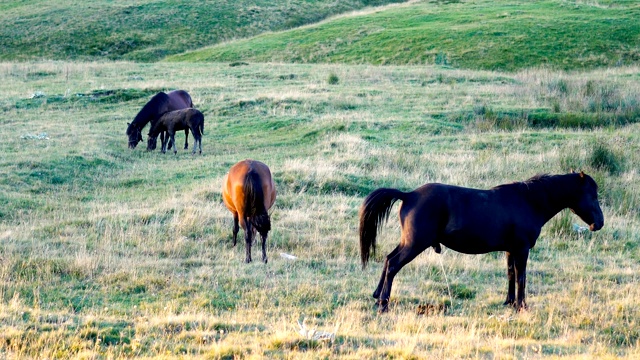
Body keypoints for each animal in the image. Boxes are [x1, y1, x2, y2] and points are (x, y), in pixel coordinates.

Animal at [360, 172, 604, 312]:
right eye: (592, 195)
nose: (599, 223)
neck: (528, 201)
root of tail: (409, 194)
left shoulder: (510, 250)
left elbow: (510, 275)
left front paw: (509, 302)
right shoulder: (522, 249)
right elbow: (521, 277)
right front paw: (521, 305)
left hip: (409, 242)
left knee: (388, 259)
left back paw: (376, 296)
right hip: (414, 244)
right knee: (393, 265)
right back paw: (383, 304)